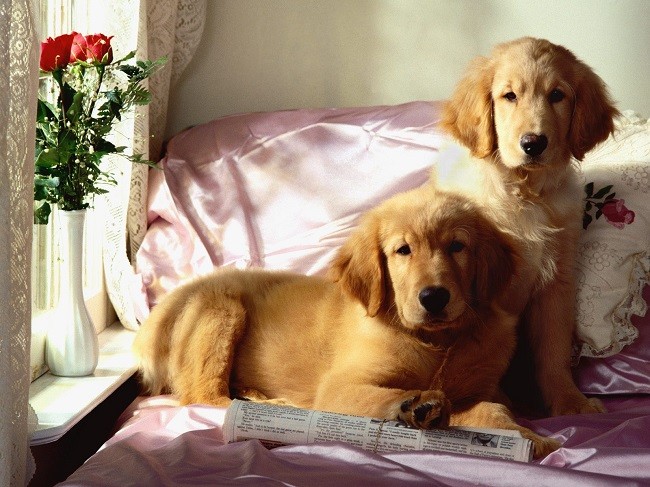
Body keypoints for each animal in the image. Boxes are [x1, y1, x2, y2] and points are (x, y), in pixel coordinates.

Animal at [133, 187, 556, 458]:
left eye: (457, 246)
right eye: (403, 250)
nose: (434, 298)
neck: (436, 343)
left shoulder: (482, 390)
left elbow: (493, 410)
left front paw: (530, 437)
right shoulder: (340, 387)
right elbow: (383, 394)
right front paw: (413, 404)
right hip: (221, 310)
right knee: (203, 394)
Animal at [430, 36, 616, 418]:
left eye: (557, 95)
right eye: (509, 96)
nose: (533, 143)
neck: (525, 193)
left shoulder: (557, 282)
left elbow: (554, 353)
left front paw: (571, 403)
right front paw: (496, 406)